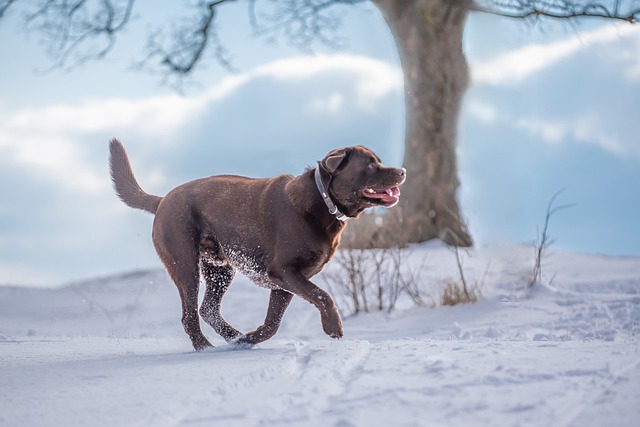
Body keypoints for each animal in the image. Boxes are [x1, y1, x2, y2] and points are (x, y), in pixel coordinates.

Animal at [109, 140, 404, 352]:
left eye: (378, 161)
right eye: (370, 165)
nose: (402, 171)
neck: (321, 201)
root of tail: (162, 201)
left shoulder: (285, 283)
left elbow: (273, 323)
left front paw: (249, 339)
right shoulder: (286, 272)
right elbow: (323, 296)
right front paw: (333, 327)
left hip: (220, 268)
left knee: (208, 309)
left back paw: (234, 337)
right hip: (184, 265)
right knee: (190, 315)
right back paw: (205, 347)